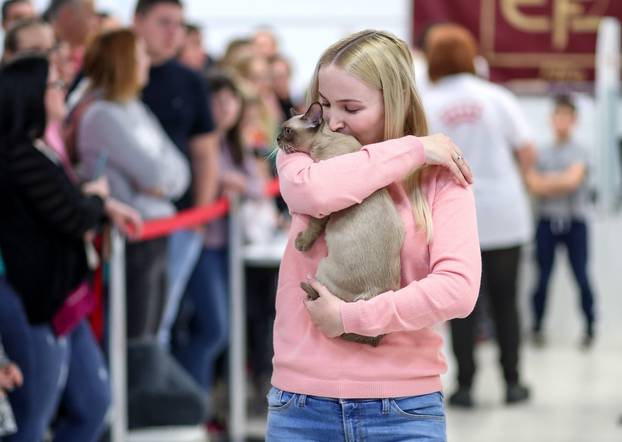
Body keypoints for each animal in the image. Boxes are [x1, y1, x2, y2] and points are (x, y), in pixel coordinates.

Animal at [276, 102, 404, 348]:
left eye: (287, 130)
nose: (276, 138)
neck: (325, 141)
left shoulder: (325, 203)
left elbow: (314, 225)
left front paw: (302, 243)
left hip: (323, 268)